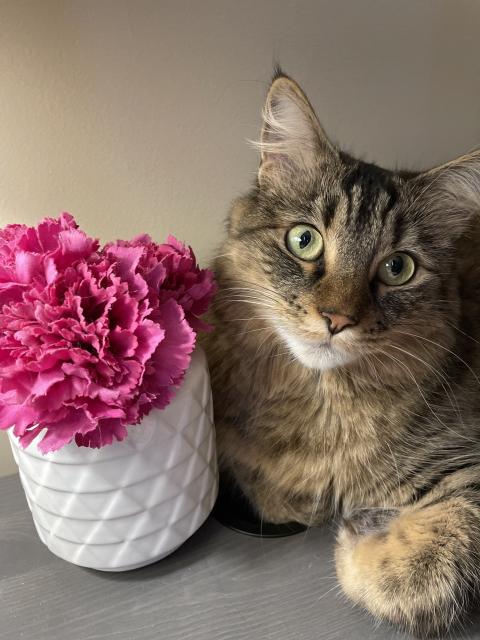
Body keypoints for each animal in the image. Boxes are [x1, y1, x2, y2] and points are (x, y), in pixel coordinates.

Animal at [201, 67, 480, 636]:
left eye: (398, 268)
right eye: (304, 240)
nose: (336, 320)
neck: (323, 410)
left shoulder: (467, 457)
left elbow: (422, 571)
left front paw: (357, 533)